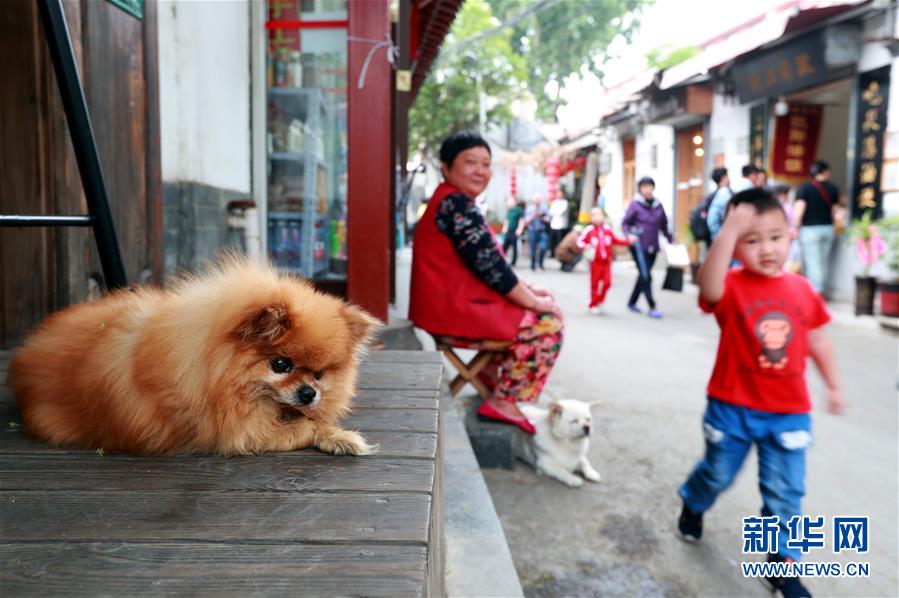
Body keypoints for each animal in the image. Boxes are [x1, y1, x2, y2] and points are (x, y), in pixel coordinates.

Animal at [7, 258, 380, 460]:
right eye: (280, 365)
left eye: (319, 375)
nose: (309, 393)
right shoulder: (233, 432)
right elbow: (302, 428)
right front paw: (339, 436)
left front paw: (338, 436)